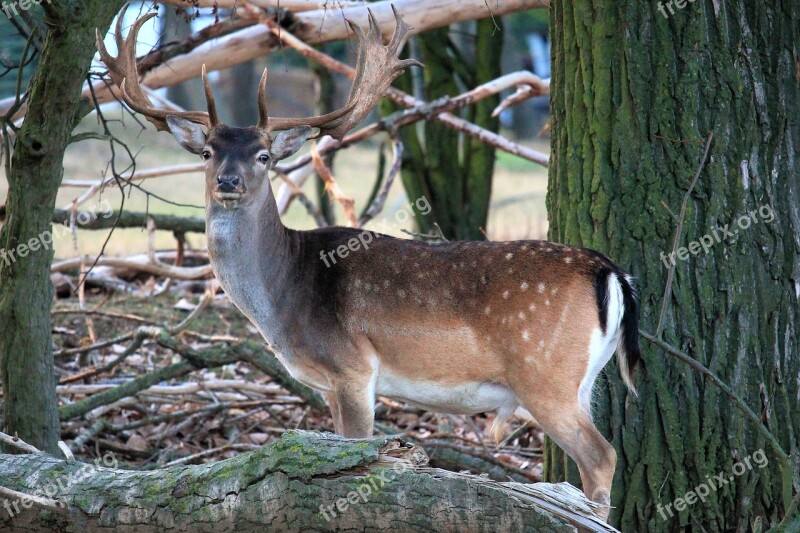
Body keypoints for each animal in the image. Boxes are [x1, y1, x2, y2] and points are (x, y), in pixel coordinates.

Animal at [98, 6, 636, 516]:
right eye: (208, 152)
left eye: (264, 156)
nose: (228, 181)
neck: (286, 295)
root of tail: (608, 270)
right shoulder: (330, 384)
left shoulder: (353, 366)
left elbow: (355, 452)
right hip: (581, 380)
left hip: (544, 372)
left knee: (602, 455)